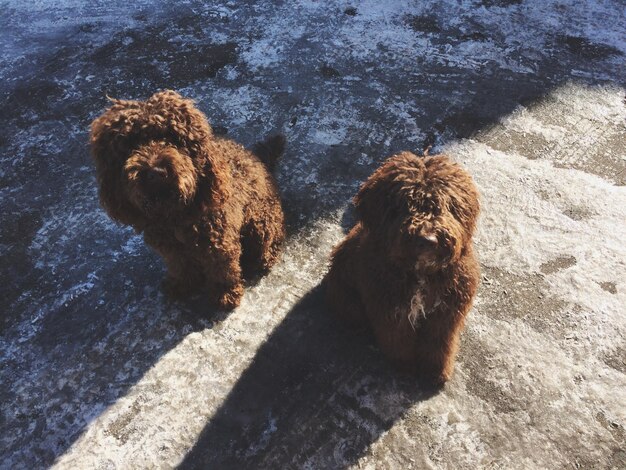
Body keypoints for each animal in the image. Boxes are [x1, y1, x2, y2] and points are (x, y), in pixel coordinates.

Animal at [90, 90, 286, 310]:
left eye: (171, 138)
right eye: (130, 145)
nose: (156, 172)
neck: (174, 213)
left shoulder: (219, 242)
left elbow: (222, 268)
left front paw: (225, 293)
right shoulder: (170, 248)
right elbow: (180, 265)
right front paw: (182, 284)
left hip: (260, 222)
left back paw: (266, 256)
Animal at [322, 151, 478, 386]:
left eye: (446, 204)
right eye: (405, 205)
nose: (428, 240)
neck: (421, 273)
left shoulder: (445, 315)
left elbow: (438, 346)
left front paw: (436, 372)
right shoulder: (391, 310)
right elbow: (399, 341)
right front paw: (405, 366)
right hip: (348, 298)